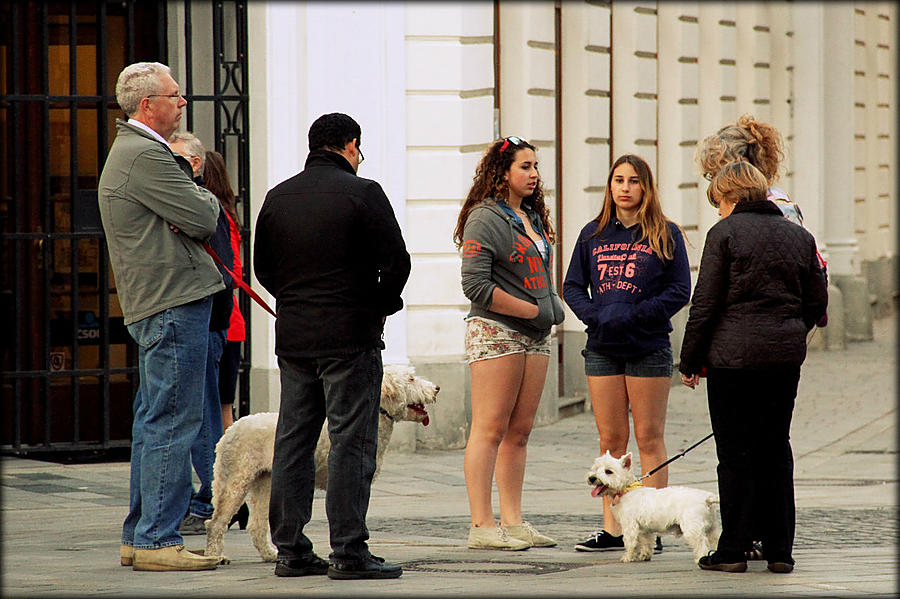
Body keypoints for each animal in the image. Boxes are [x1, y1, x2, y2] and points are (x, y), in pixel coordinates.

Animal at [205, 364, 442, 564]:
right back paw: (216, 556)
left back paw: (271, 555)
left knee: (256, 524)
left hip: (265, 480)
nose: (437, 388)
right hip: (236, 477)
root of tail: (230, 429)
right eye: (411, 379)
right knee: (216, 522)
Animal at [588, 452, 720, 564]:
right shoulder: (644, 529)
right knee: (716, 540)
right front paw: (644, 556)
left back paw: (700, 559)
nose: (592, 478)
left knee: (701, 544)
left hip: (692, 528)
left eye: (608, 471)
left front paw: (627, 557)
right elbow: (646, 542)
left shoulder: (630, 525)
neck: (626, 490)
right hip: (712, 528)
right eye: (595, 468)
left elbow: (630, 543)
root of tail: (707, 498)